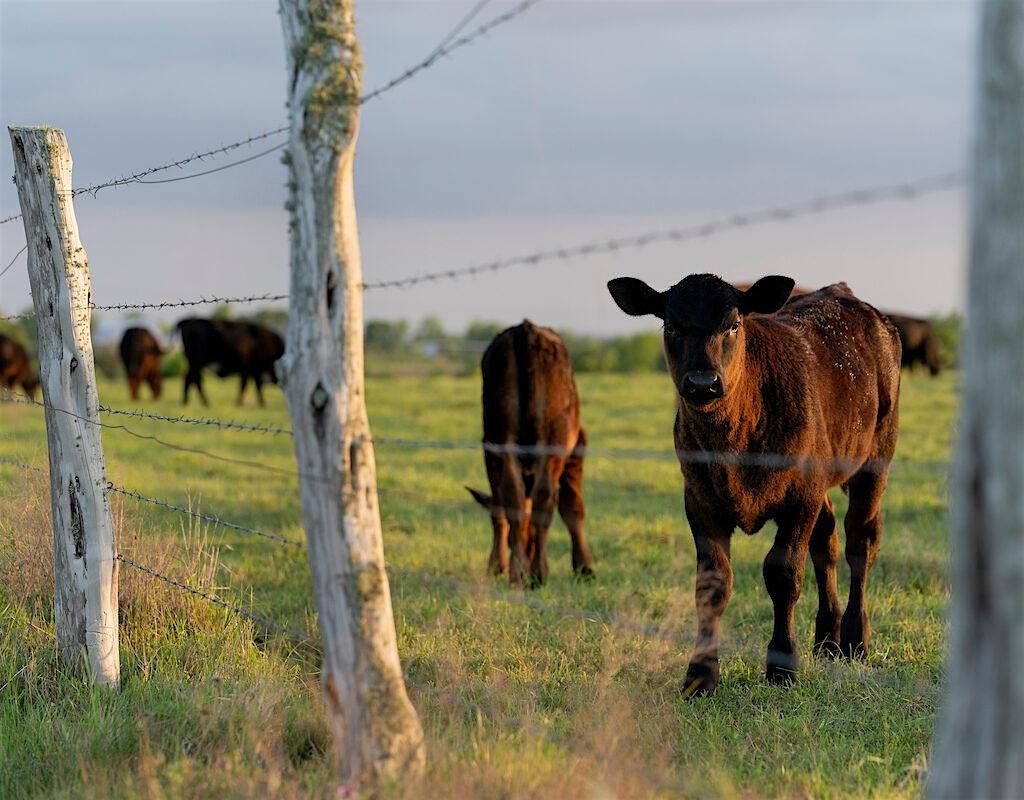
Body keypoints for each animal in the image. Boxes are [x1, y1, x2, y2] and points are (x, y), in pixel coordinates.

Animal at [468, 317, 598, 585]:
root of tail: (525, 330)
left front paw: (498, 566)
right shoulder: (578, 445)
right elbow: (572, 506)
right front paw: (584, 566)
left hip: (501, 439)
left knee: (512, 497)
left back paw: (518, 571)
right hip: (552, 441)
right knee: (543, 499)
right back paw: (537, 571)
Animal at [610, 274, 901, 692]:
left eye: (733, 325)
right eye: (672, 327)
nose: (703, 383)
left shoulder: (799, 499)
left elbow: (783, 574)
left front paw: (782, 666)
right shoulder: (699, 500)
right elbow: (712, 584)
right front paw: (701, 674)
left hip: (876, 457)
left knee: (860, 540)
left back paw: (854, 640)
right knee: (826, 540)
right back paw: (826, 640)